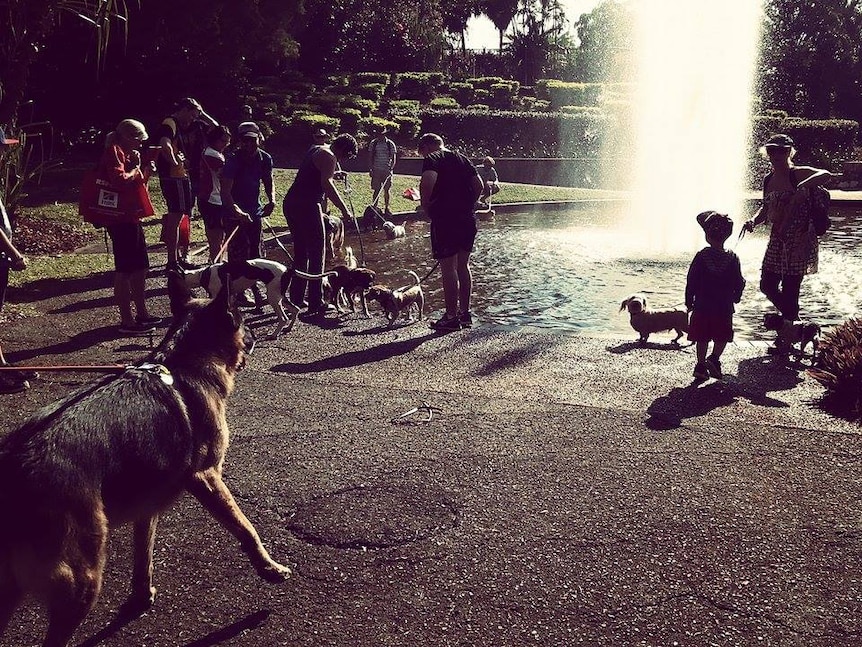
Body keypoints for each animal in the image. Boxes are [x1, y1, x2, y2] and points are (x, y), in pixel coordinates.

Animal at [0, 274, 290, 647]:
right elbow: (244, 526)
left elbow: (144, 552)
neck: (183, 364)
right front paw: (269, 567)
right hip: (82, 580)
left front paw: (140, 597)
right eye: (241, 319)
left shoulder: (146, 506)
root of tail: (13, 468)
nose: (254, 337)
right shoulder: (207, 477)